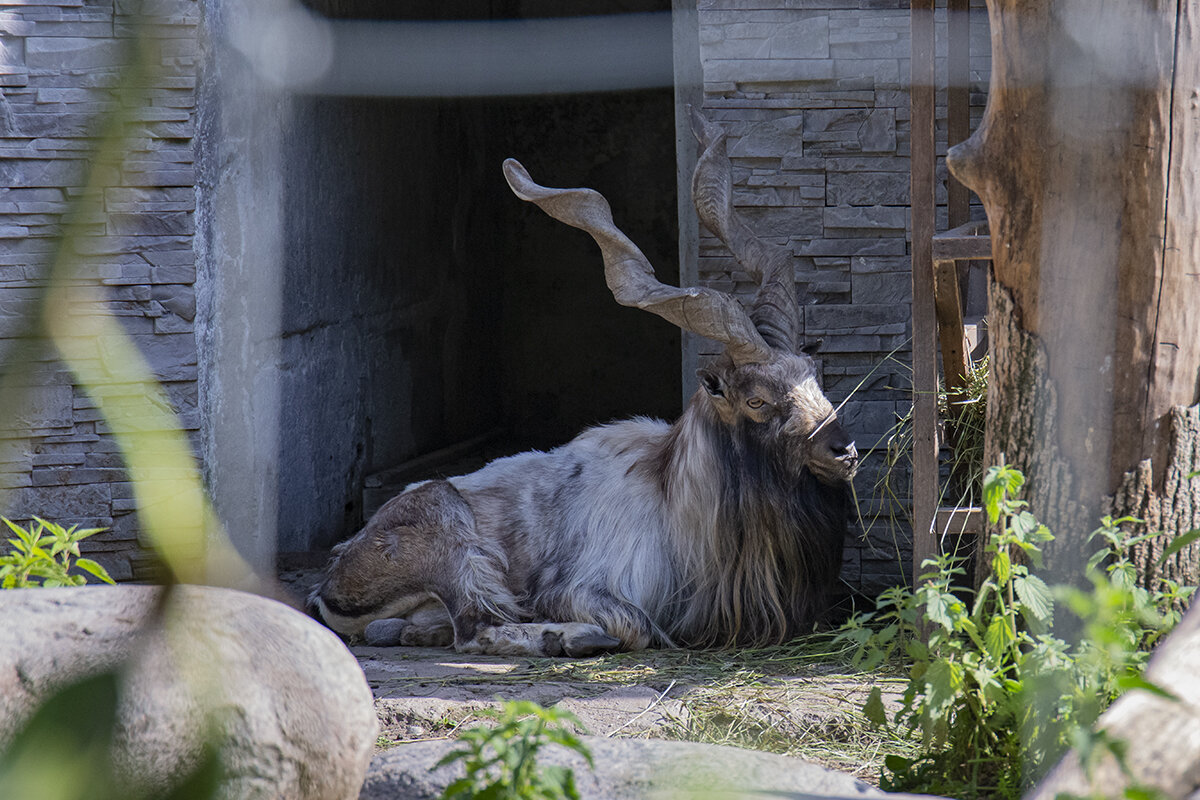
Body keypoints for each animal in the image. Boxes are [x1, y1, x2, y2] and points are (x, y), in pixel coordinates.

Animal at [304, 112, 859, 657]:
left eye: (814, 376)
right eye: (756, 399)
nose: (844, 450)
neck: (673, 504)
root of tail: (334, 574)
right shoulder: (580, 588)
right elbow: (637, 626)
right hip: (446, 527)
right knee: (477, 627)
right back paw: (570, 637)